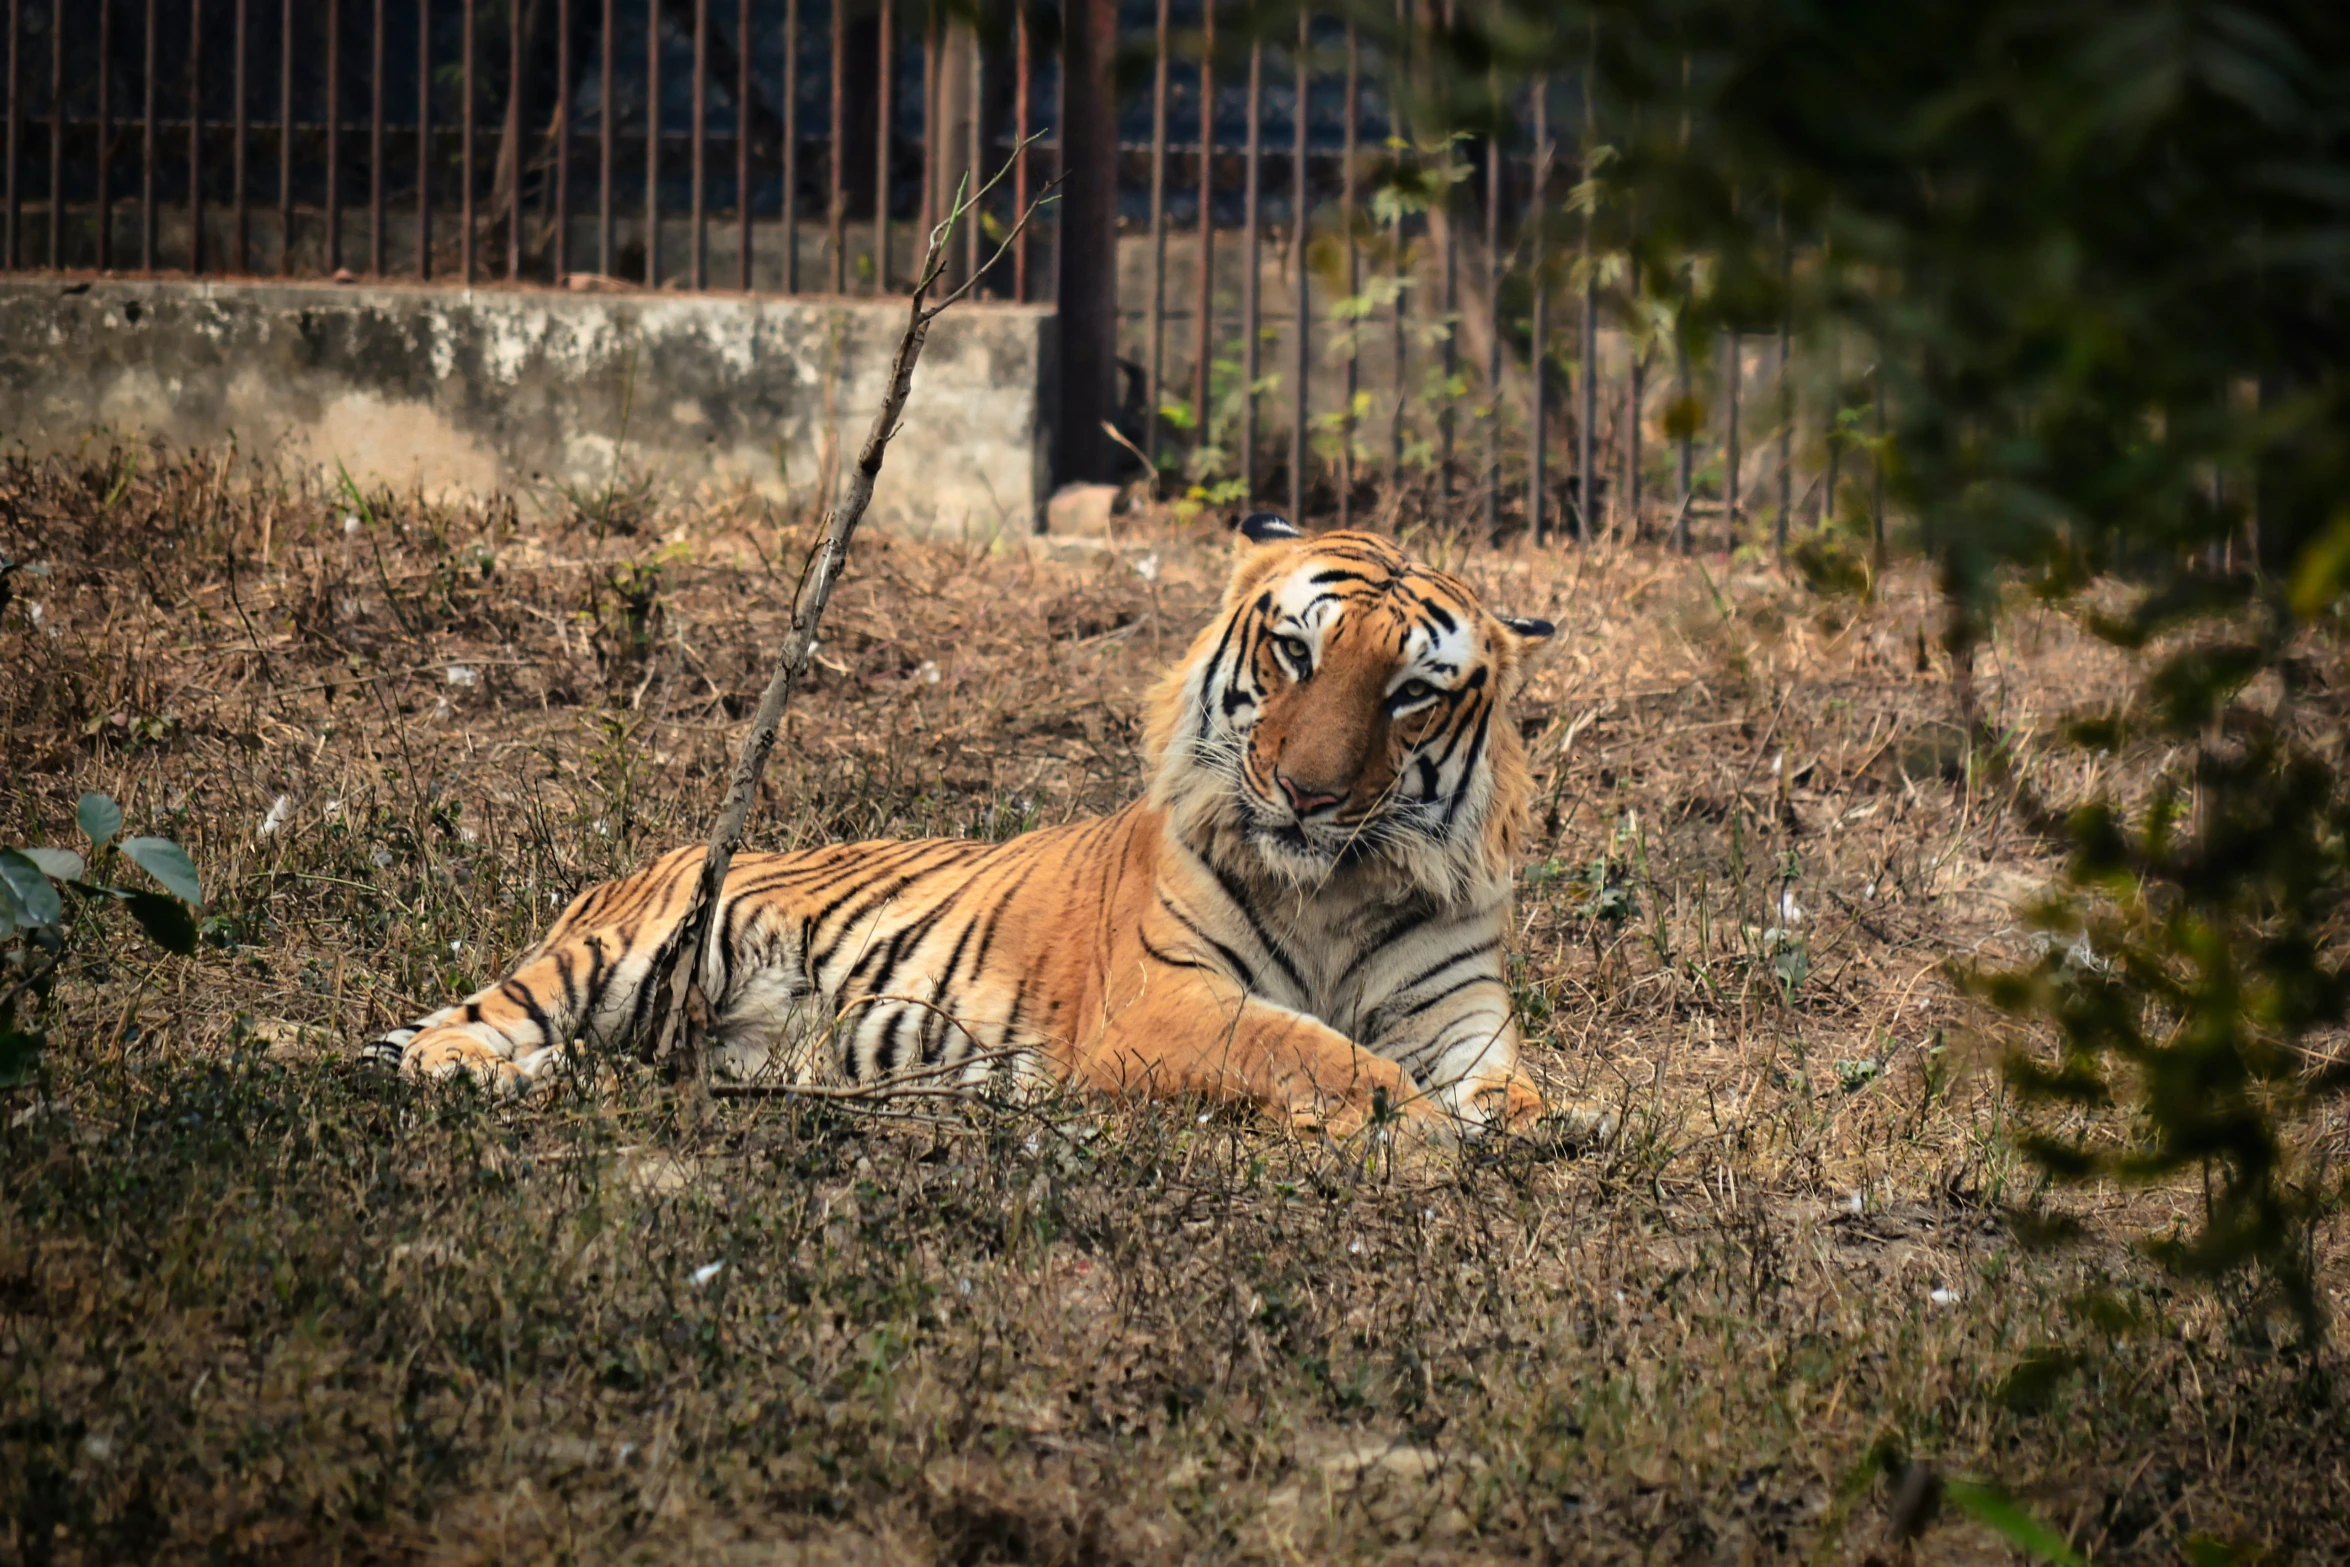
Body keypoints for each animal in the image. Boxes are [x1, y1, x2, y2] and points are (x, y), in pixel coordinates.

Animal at [357, 514, 1550, 1141]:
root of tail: (625, 872)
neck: (1334, 889)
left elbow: (1517, 1086)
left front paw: (1509, 1121)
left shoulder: (1459, 1012)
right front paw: (1422, 1130)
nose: (1306, 795)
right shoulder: (1167, 1002)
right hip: (629, 953)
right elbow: (1314, 1051)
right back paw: (489, 1075)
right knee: (443, 1033)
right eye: (1298, 651)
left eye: (1409, 692)